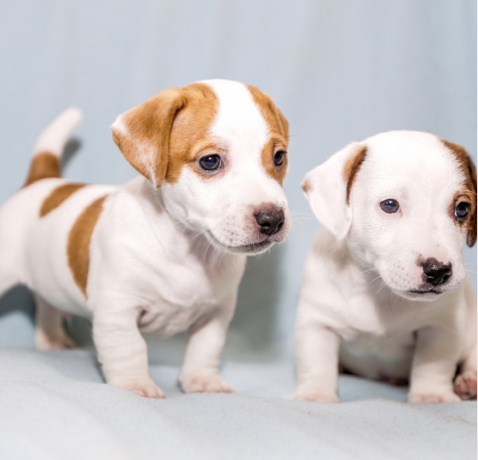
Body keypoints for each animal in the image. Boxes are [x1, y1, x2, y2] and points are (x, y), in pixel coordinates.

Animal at [0, 80, 292, 398]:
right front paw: (134, 385)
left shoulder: (216, 313)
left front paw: (202, 381)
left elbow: (205, 348)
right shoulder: (118, 309)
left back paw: (51, 339)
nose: (273, 219)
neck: (188, 249)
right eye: (210, 161)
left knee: (46, 304)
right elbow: (129, 349)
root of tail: (41, 182)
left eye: (279, 157)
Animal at [290, 131, 476, 404]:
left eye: (462, 209)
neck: (379, 290)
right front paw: (316, 395)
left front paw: (431, 395)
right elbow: (316, 361)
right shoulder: (317, 320)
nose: (439, 270)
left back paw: (469, 381)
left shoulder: (441, 325)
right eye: (389, 205)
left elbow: (434, 364)